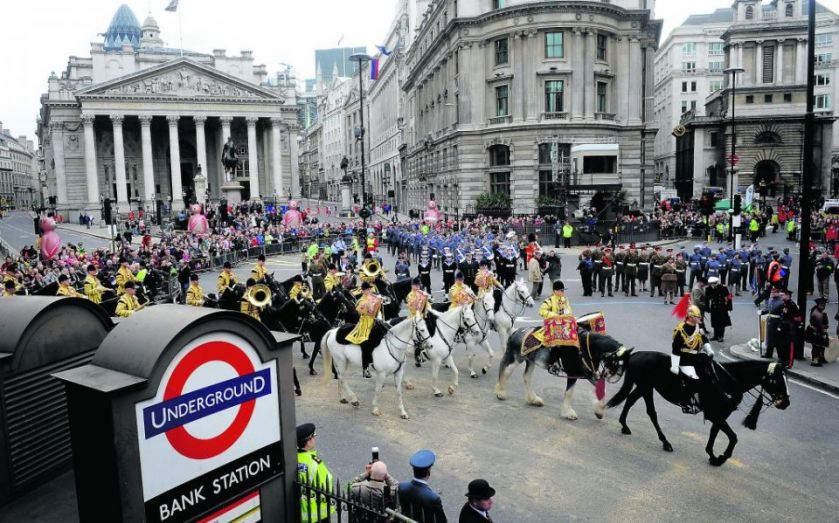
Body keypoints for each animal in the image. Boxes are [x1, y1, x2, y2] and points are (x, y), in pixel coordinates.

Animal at [492, 328, 632, 422]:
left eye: (624, 365)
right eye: (615, 363)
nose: (614, 378)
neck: (584, 347)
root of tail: (515, 332)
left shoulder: (588, 374)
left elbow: (601, 390)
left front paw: (599, 411)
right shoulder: (573, 373)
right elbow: (569, 392)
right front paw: (568, 413)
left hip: (530, 361)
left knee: (526, 377)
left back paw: (533, 400)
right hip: (516, 359)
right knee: (505, 370)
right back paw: (500, 392)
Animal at [608, 352, 792, 466]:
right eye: (778, 380)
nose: (786, 403)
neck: (727, 379)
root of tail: (635, 354)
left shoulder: (720, 415)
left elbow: (715, 433)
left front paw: (712, 455)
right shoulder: (714, 414)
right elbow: (733, 437)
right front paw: (721, 458)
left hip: (644, 387)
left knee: (630, 401)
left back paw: (624, 426)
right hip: (646, 388)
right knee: (651, 413)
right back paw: (665, 442)